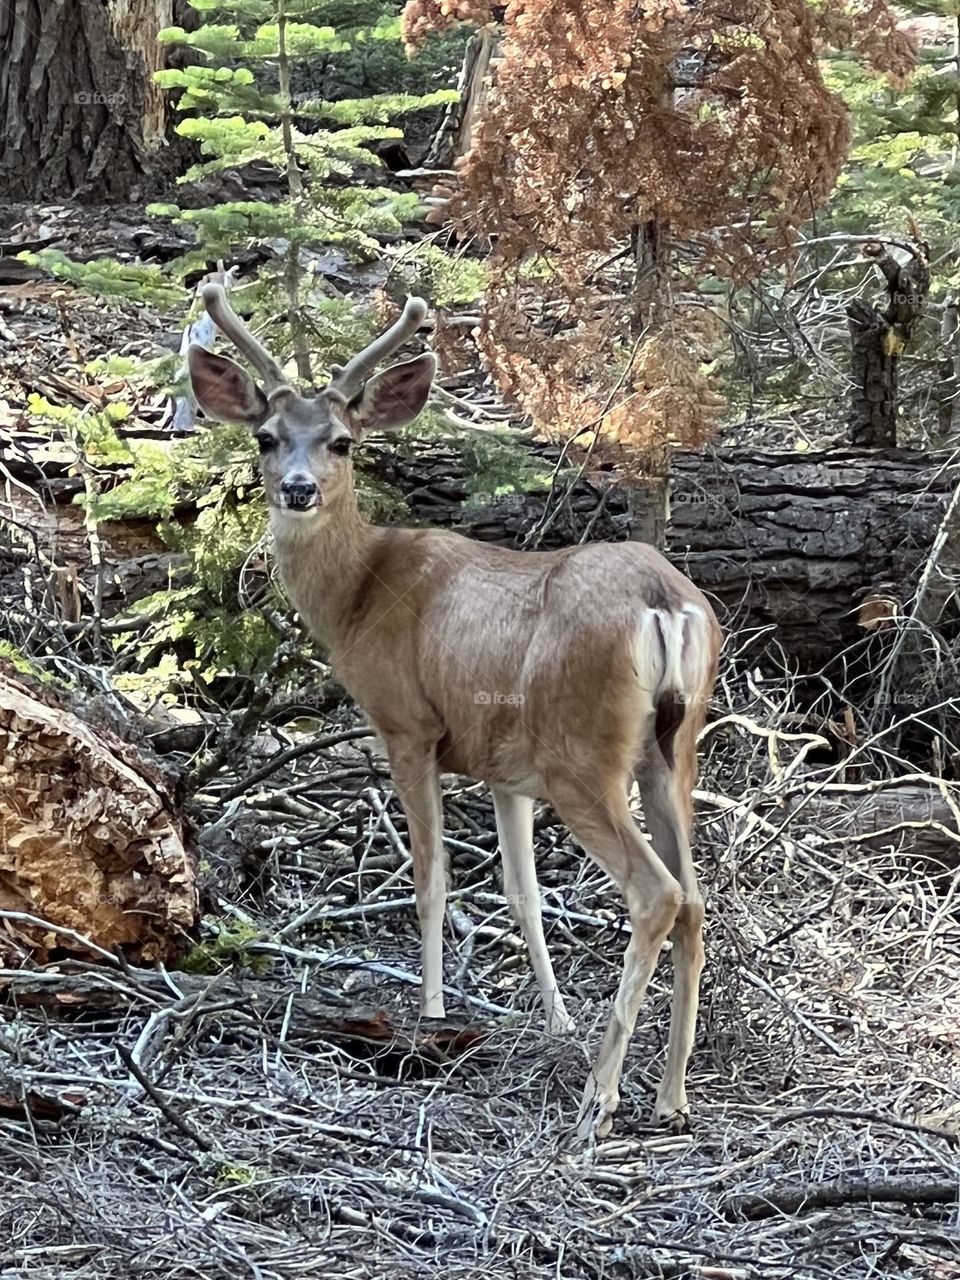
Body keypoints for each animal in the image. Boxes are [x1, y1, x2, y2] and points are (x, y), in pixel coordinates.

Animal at [188, 285, 722, 1140]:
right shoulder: (505, 768)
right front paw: (554, 1020)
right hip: (672, 748)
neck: (355, 595)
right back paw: (671, 1096)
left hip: (584, 755)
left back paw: (600, 1098)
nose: (297, 487)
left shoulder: (408, 725)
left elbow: (432, 875)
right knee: (697, 900)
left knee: (658, 894)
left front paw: (433, 1009)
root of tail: (663, 602)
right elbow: (522, 893)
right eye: (267, 437)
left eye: (342, 442)